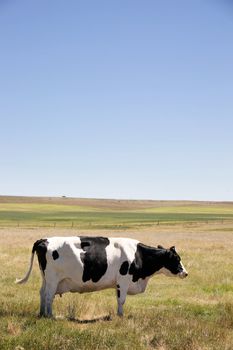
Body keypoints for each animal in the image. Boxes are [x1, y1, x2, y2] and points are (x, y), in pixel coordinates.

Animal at [15, 238, 187, 318]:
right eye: (176, 259)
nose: (185, 273)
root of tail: (43, 239)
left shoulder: (119, 283)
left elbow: (118, 300)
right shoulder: (123, 280)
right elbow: (121, 300)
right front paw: (120, 316)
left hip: (46, 278)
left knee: (42, 293)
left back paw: (42, 313)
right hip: (53, 279)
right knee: (49, 296)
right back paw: (50, 315)